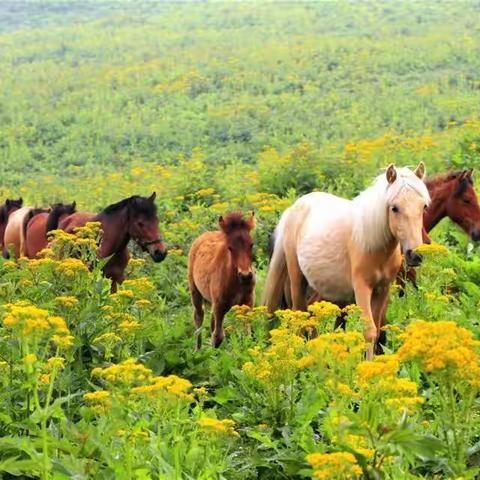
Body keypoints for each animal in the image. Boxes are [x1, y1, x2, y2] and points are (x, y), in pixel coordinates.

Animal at [188, 213, 256, 348]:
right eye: (230, 248)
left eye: (251, 244)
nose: (245, 276)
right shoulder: (219, 305)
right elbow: (218, 337)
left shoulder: (248, 302)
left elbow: (247, 333)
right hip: (195, 291)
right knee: (199, 317)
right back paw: (197, 350)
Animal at [264, 163, 430, 354]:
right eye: (394, 208)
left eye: (424, 207)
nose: (415, 255)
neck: (374, 245)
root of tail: (294, 208)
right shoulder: (361, 288)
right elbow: (369, 332)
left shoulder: (383, 289)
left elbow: (377, 330)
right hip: (297, 280)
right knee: (301, 316)